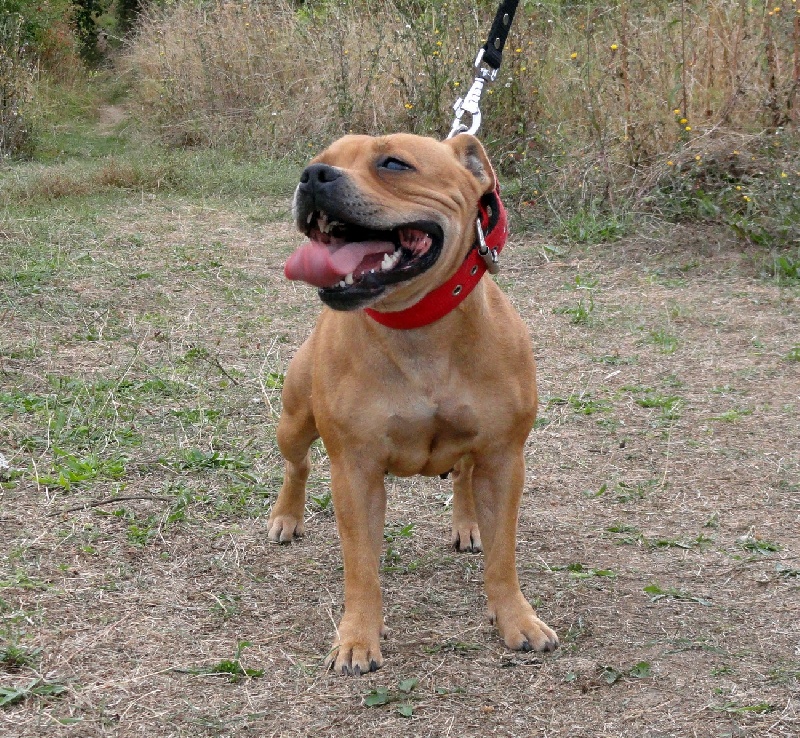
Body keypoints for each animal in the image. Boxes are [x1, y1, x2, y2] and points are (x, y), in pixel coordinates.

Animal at [268, 132, 558, 675]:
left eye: (394, 164)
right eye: (321, 159)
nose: (312, 175)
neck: (418, 327)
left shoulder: (504, 459)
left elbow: (504, 556)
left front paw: (517, 619)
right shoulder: (355, 471)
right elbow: (361, 566)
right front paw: (358, 638)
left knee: (462, 475)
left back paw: (467, 525)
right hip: (294, 422)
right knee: (297, 465)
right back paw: (286, 517)